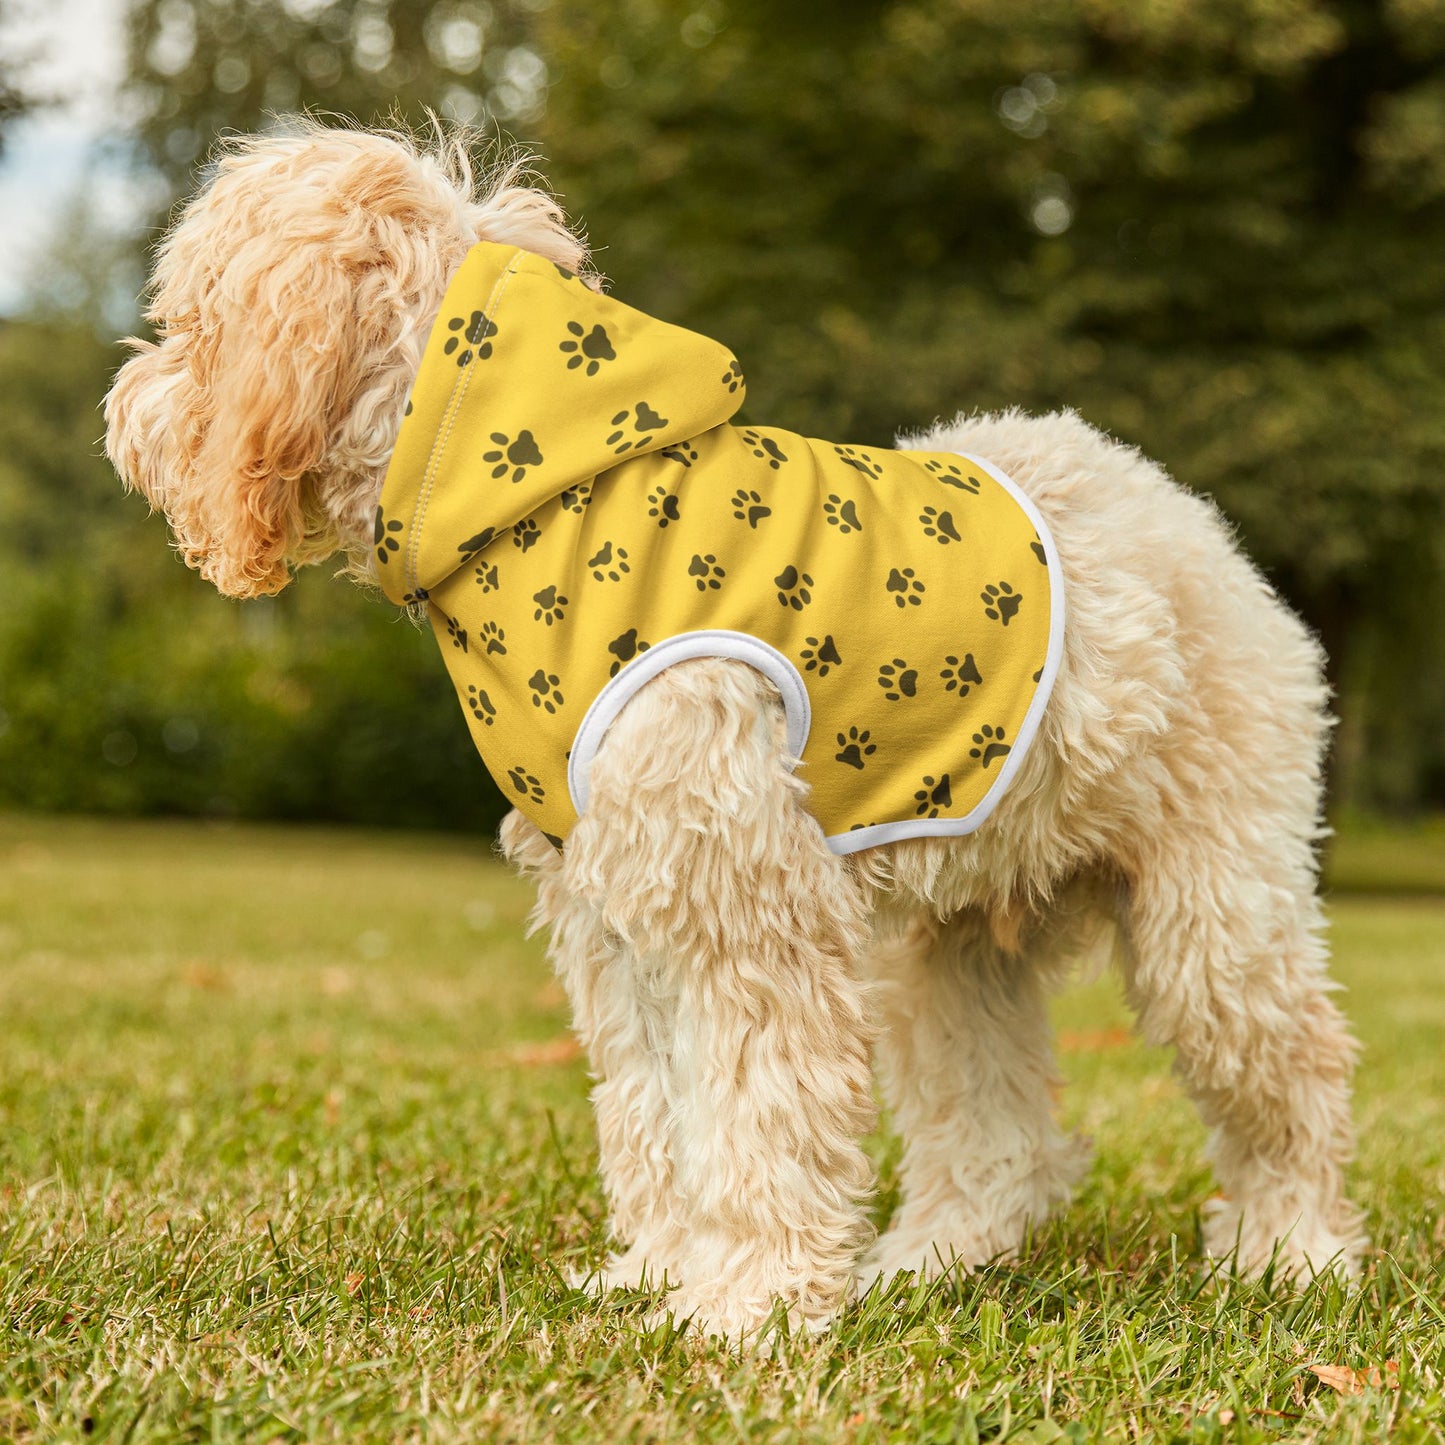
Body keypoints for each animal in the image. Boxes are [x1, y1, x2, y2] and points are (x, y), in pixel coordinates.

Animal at [106, 127, 1358, 1340]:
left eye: (189, 321)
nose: (123, 405)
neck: (534, 500)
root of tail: (1182, 515)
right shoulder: (617, 914)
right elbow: (656, 1112)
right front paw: (660, 1273)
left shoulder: (745, 905)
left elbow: (758, 1114)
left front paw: (745, 1305)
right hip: (947, 950)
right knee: (997, 1135)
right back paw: (929, 1261)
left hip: (1213, 916)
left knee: (1294, 1075)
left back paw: (1291, 1253)